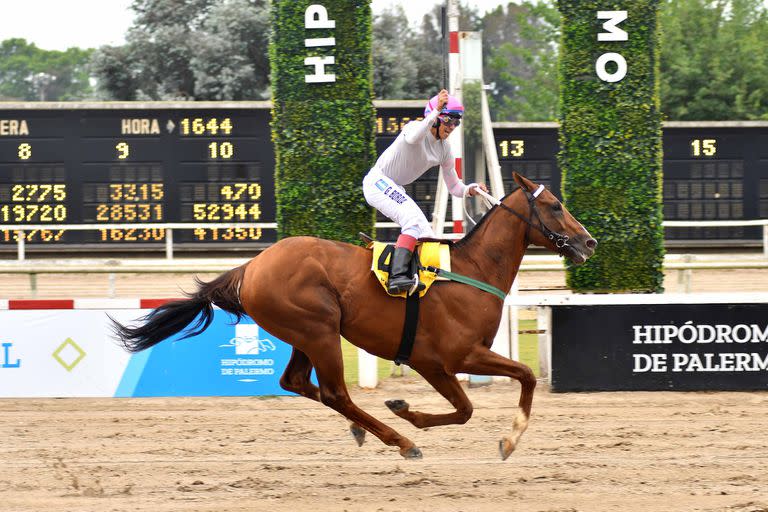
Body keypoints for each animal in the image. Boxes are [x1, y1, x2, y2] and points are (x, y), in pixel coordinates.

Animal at [112, 172, 592, 460]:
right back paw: (399, 440)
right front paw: (505, 438)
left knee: (297, 382)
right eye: (554, 206)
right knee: (335, 393)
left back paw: (364, 429)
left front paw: (408, 410)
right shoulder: (446, 359)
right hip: (318, 330)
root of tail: (250, 266)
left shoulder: (447, 361)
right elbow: (488, 396)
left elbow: (486, 397)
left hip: (305, 335)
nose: (589, 242)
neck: (470, 272)